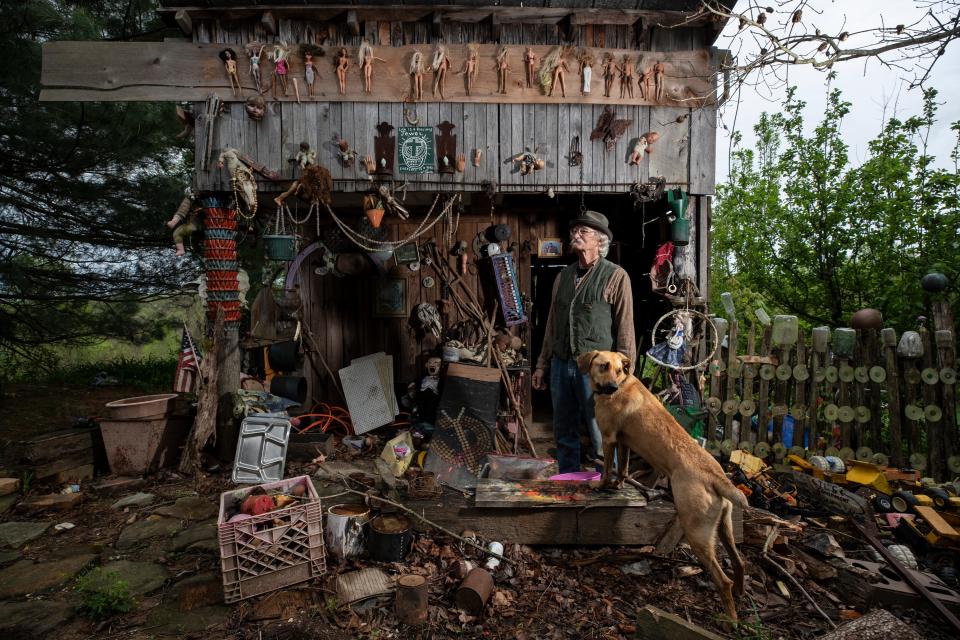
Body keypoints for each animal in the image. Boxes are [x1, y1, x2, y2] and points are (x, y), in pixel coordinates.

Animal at [576, 350, 752, 620]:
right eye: (604, 366)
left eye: (618, 369)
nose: (612, 387)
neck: (622, 384)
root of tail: (715, 476)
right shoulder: (624, 443)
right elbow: (623, 468)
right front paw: (618, 485)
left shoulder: (609, 439)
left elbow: (606, 468)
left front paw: (602, 485)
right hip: (724, 527)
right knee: (739, 562)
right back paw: (741, 596)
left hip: (697, 533)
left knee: (723, 580)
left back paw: (729, 620)